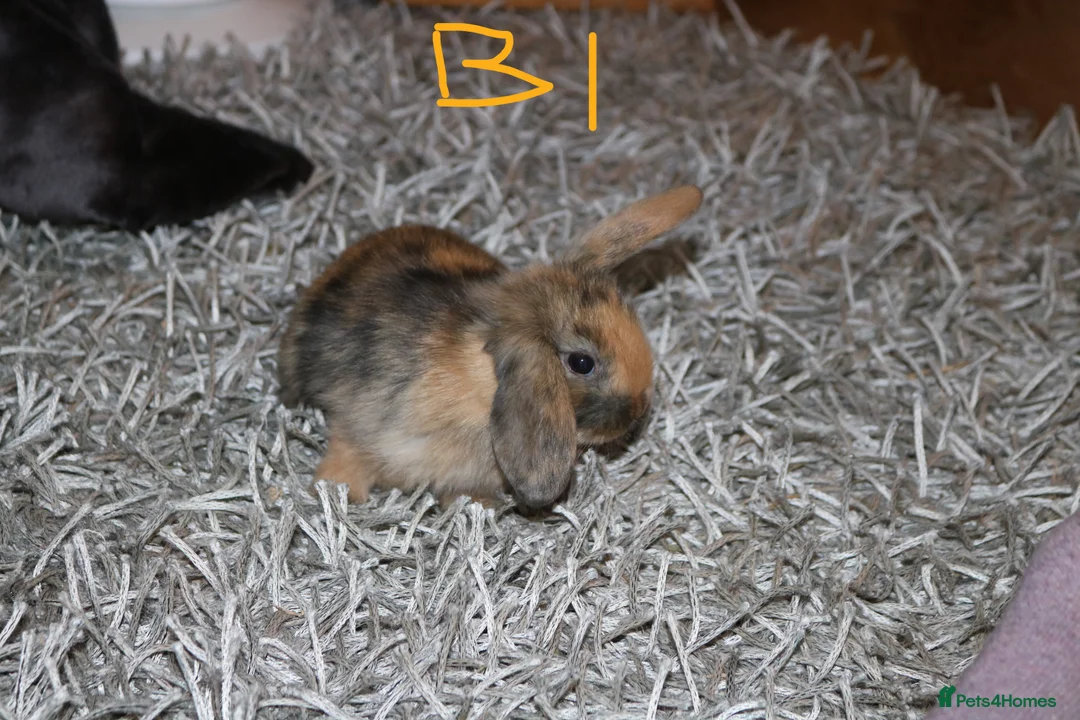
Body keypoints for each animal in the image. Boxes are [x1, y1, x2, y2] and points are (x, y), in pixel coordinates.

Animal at [277, 185, 703, 511]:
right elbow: (347, 450)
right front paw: (338, 492)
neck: (478, 380)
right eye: (582, 362)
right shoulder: (358, 421)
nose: (640, 409)